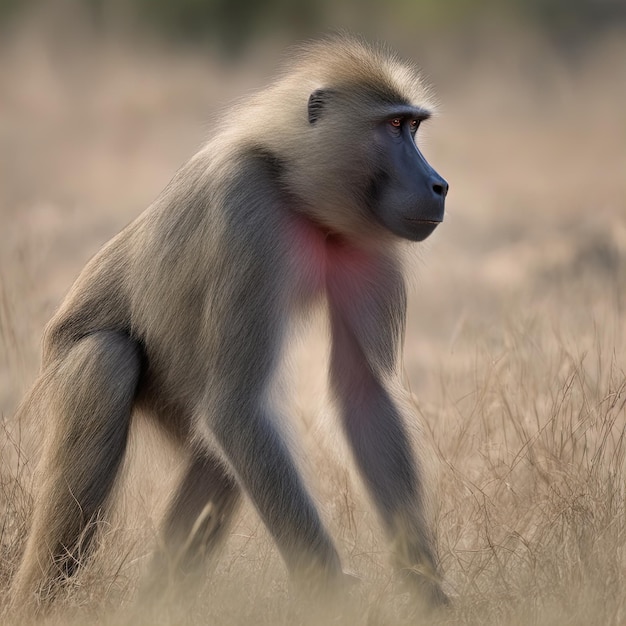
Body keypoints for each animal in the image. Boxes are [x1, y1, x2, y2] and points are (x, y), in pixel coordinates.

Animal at [9, 35, 448, 608]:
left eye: (414, 126)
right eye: (395, 126)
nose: (439, 185)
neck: (294, 192)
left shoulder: (366, 240)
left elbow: (361, 392)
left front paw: (425, 587)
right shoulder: (247, 213)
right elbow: (237, 406)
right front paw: (328, 591)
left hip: (176, 402)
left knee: (218, 463)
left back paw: (157, 605)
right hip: (75, 365)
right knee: (107, 364)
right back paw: (37, 602)